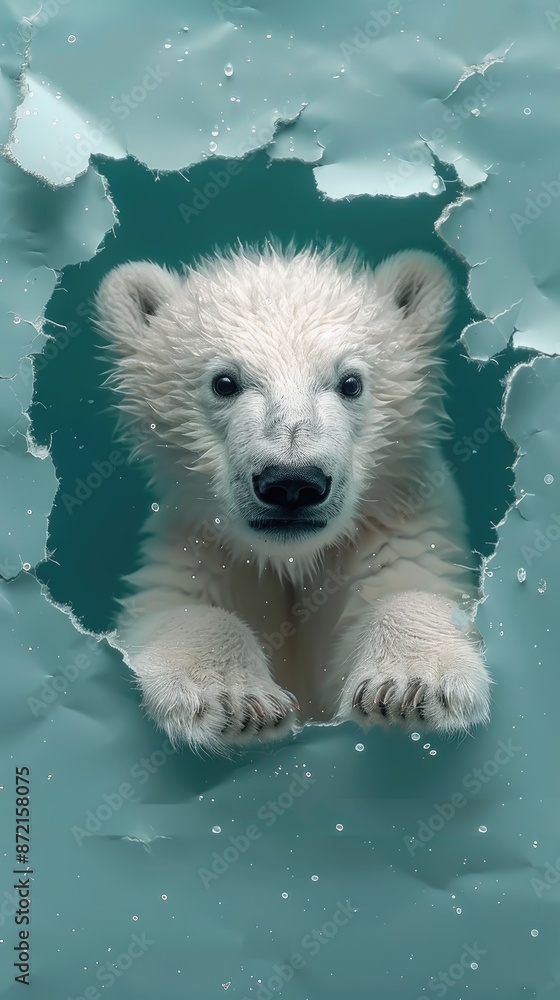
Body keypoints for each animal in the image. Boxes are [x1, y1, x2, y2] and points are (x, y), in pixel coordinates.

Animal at [95, 241, 491, 751]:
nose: (291, 481)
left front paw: (410, 686)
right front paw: (232, 699)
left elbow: (409, 587)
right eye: (224, 382)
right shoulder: (203, 546)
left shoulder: (393, 528)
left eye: (350, 383)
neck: (292, 560)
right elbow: (175, 609)